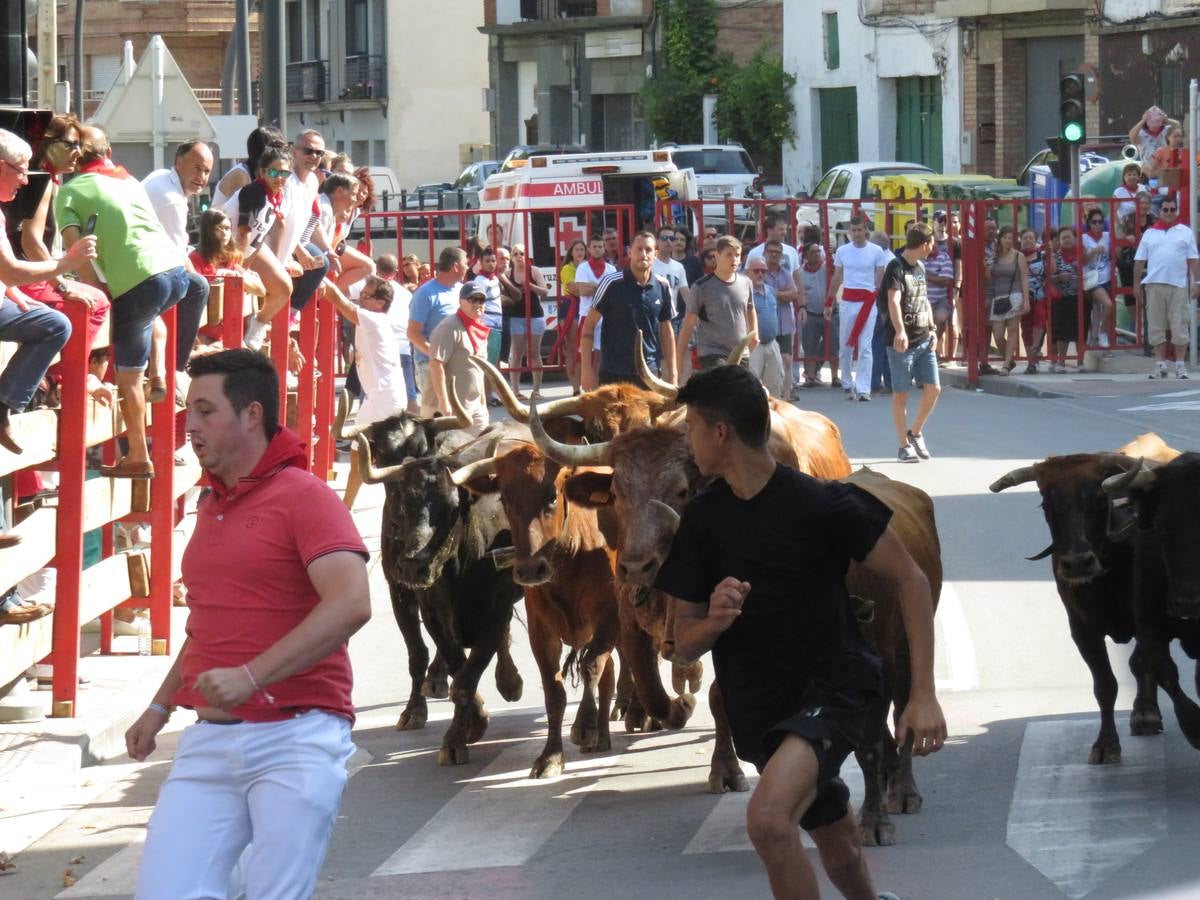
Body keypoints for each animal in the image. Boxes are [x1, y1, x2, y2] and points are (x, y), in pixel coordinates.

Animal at [448, 448, 619, 777]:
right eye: (505, 499)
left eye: (552, 496)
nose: (529, 570)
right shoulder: (541, 630)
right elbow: (554, 693)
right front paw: (551, 756)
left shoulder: (610, 615)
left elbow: (591, 664)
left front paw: (585, 725)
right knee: (610, 673)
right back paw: (603, 736)